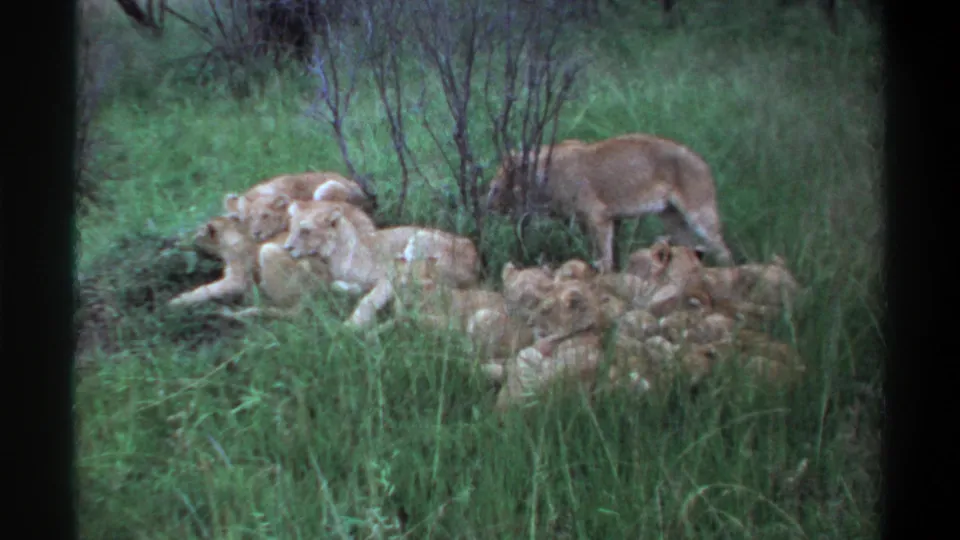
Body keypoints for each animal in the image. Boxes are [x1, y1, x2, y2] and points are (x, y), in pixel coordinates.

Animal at [283, 202, 481, 327]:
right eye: (291, 228)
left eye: (305, 231)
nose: (286, 248)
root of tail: (476, 259)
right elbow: (338, 285)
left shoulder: (389, 277)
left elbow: (368, 300)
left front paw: (351, 325)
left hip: (418, 240)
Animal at [485, 133, 734, 272]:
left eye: (495, 187)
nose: (489, 207)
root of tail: (702, 161)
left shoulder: (598, 215)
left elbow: (604, 254)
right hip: (672, 217)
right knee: (690, 247)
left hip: (699, 213)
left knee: (723, 249)